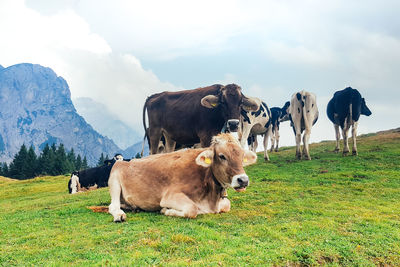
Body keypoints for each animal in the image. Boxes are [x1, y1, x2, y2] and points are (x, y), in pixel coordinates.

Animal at [107, 133, 256, 223]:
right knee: (112, 206)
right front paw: (166, 210)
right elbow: (192, 209)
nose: (243, 180)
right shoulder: (170, 196)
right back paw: (119, 215)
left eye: (242, 156)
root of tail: (127, 161)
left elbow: (227, 205)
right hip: (114, 179)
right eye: (222, 156)